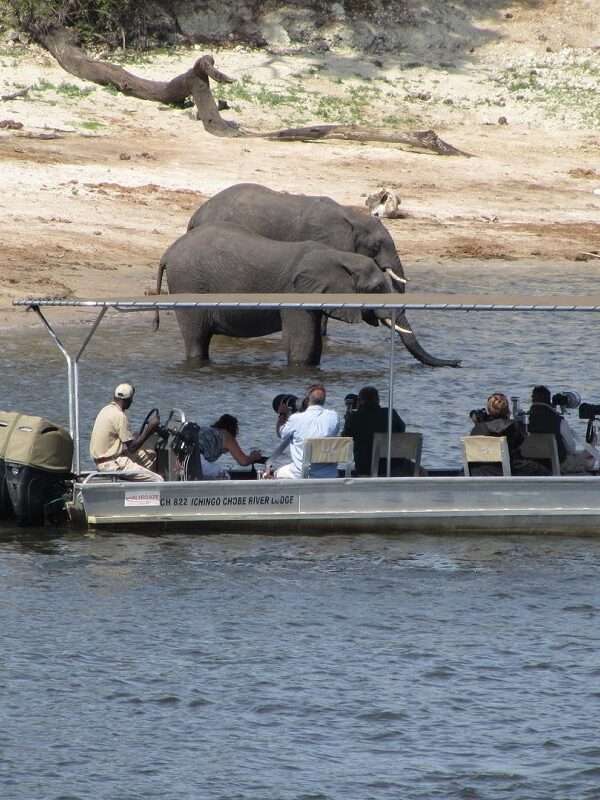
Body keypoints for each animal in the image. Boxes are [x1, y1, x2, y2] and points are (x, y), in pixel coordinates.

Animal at [156, 222, 432, 366]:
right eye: (376, 289)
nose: (449, 364)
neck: (340, 258)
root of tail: (167, 253)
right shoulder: (296, 292)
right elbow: (303, 345)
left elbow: (314, 346)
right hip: (188, 283)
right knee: (196, 340)